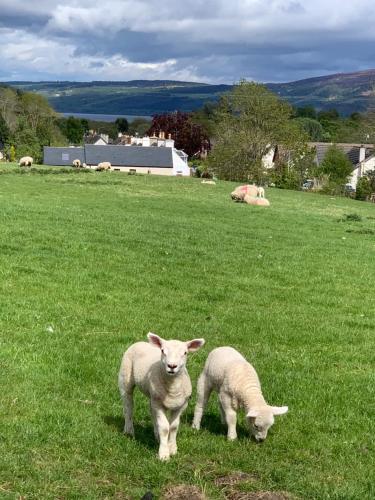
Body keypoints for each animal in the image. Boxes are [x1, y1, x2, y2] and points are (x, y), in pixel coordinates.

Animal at [119, 330, 206, 462]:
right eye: (163, 351)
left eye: (185, 353)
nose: (172, 366)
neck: (172, 388)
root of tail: (139, 342)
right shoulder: (159, 404)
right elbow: (165, 427)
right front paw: (164, 454)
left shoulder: (181, 405)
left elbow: (174, 427)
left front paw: (172, 448)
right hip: (125, 379)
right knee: (128, 406)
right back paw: (129, 431)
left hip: (152, 395)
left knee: (151, 411)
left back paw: (156, 435)